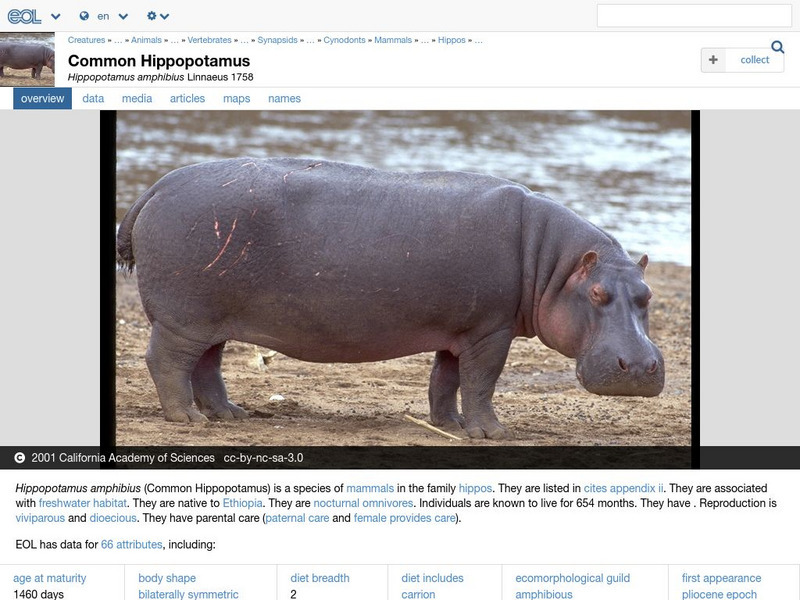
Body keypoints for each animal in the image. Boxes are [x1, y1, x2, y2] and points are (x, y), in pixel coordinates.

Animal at [117, 158, 664, 439]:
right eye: (596, 293)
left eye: (647, 294)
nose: (640, 367)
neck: (553, 264)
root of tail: (154, 189)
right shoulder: (491, 330)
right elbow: (482, 381)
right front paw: (492, 433)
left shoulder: (460, 329)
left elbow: (446, 380)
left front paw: (450, 424)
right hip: (183, 319)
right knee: (167, 362)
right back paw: (187, 420)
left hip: (213, 317)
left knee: (207, 365)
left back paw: (230, 416)